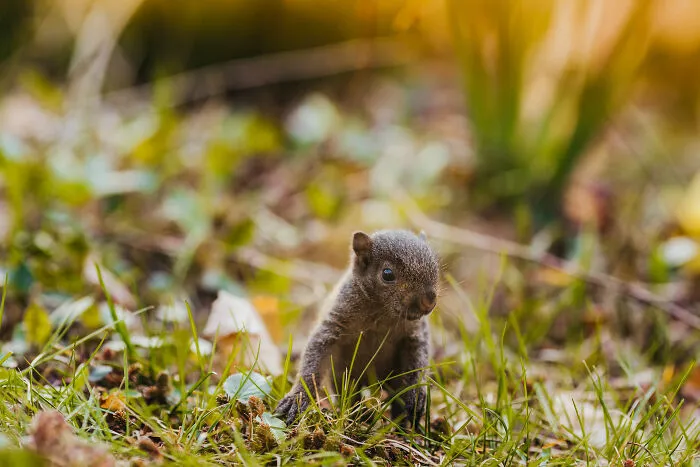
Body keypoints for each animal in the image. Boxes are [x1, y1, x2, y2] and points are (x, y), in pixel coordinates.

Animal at [275, 229, 439, 427]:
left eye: (436, 268)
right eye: (387, 274)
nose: (429, 301)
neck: (383, 314)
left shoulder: (415, 335)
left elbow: (419, 362)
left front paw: (417, 393)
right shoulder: (335, 323)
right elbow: (315, 355)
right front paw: (298, 397)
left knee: (397, 401)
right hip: (344, 376)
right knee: (350, 395)